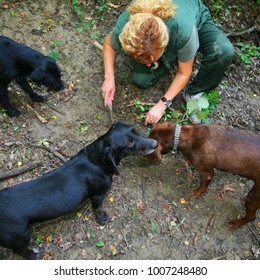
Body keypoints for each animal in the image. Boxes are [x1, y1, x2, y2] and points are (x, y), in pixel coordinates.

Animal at [0, 121, 157, 260]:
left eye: (135, 130)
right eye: (129, 144)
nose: (155, 144)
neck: (95, 160)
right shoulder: (97, 196)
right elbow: (98, 208)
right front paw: (102, 218)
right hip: (21, 236)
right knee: (18, 250)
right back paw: (32, 255)